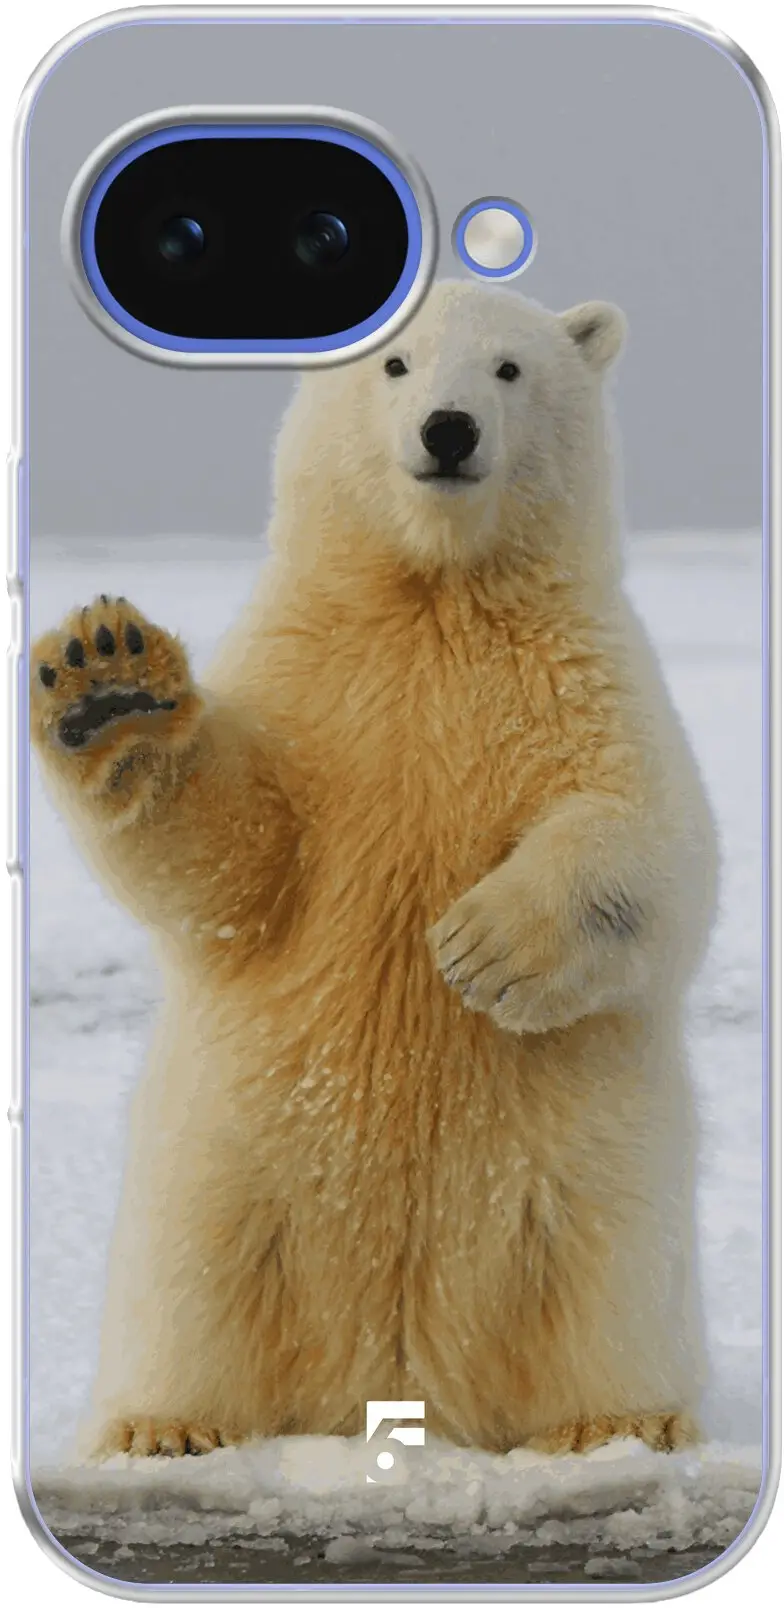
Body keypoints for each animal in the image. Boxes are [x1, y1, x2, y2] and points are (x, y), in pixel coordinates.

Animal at [30, 279, 718, 1460]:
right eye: (394, 365)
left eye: (508, 369)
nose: (449, 430)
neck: (433, 595)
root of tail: (395, 1381)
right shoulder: (310, 683)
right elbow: (235, 859)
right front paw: (109, 682)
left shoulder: (585, 677)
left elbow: (655, 840)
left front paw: (481, 947)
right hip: (222, 1161)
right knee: (196, 1280)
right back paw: (164, 1426)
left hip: (592, 1174)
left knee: (604, 1278)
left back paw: (615, 1422)